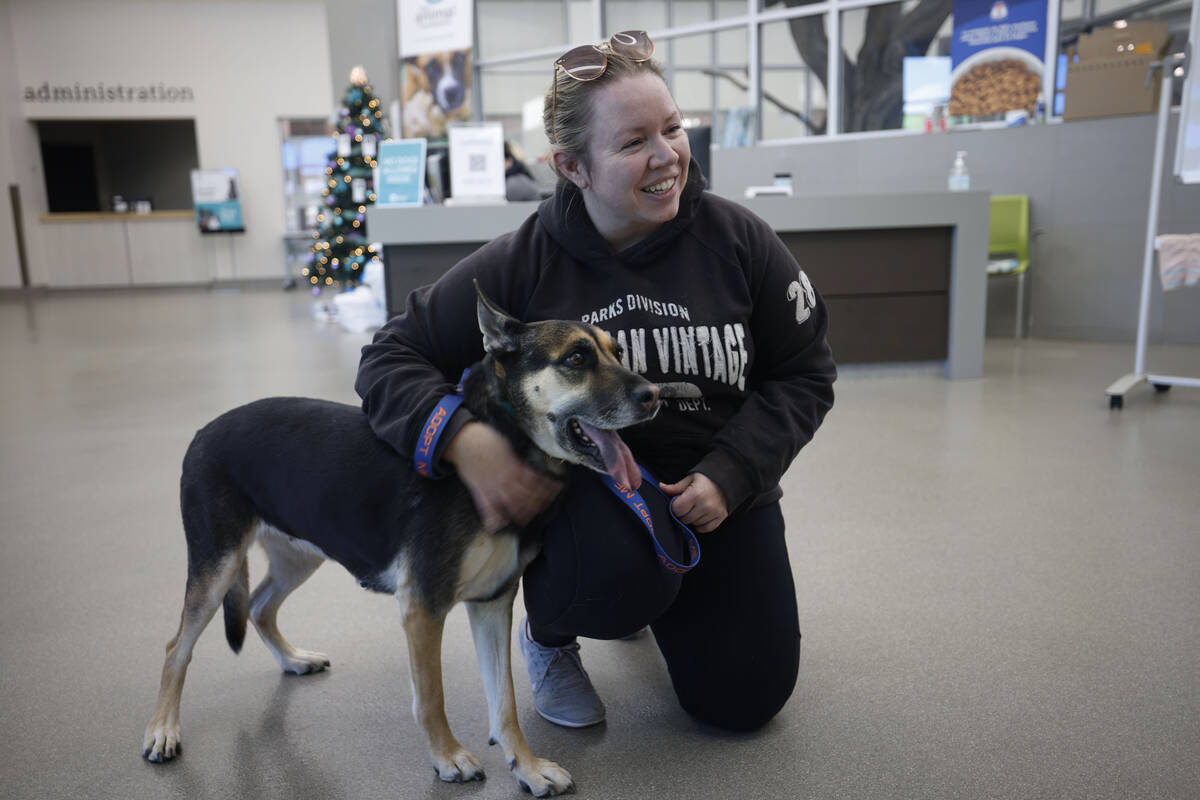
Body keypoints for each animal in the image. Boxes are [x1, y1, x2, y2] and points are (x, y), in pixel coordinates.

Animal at [147, 286, 667, 796]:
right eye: (577, 358)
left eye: (618, 352)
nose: (655, 396)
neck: (506, 436)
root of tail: (205, 430)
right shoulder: (423, 606)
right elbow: (431, 698)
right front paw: (448, 757)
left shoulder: (492, 604)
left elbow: (504, 701)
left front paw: (526, 766)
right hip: (216, 568)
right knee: (176, 647)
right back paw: (163, 730)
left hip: (299, 557)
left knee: (258, 606)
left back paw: (292, 660)